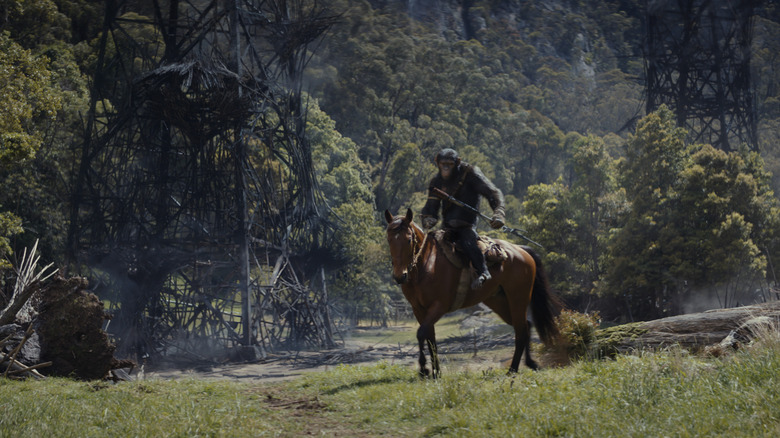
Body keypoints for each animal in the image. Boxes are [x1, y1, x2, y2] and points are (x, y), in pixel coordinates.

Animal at [386, 209, 560, 376]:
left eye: (409, 239)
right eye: (389, 240)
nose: (399, 276)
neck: (427, 264)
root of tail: (521, 250)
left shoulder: (439, 306)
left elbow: (421, 333)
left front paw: (424, 369)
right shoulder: (419, 309)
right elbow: (430, 339)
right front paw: (435, 372)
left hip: (518, 298)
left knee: (521, 330)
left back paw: (513, 369)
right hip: (499, 302)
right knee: (525, 325)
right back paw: (530, 363)